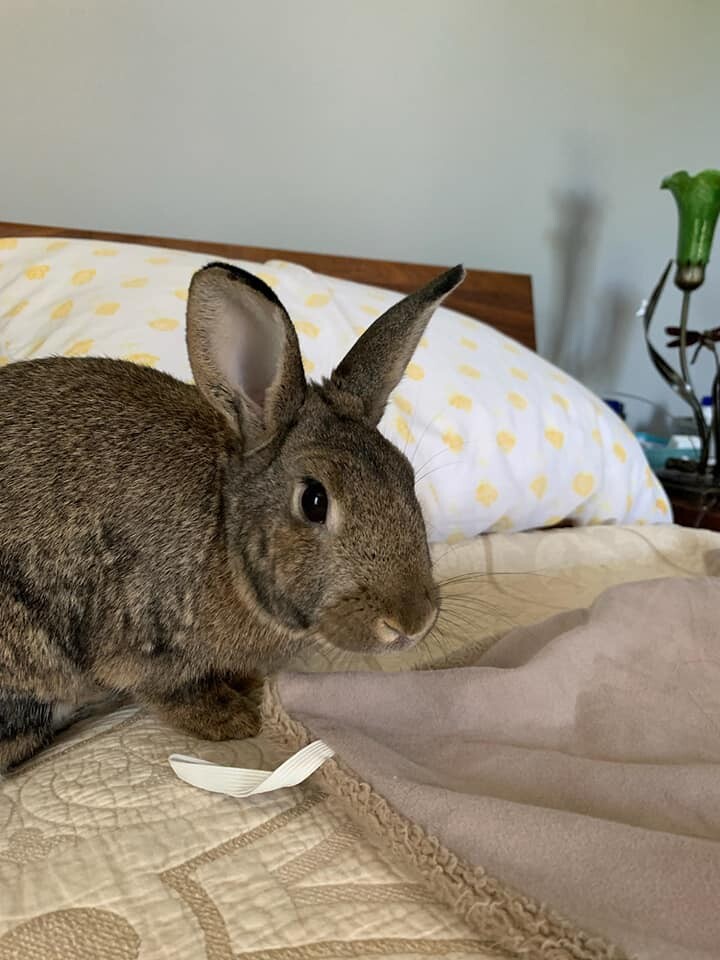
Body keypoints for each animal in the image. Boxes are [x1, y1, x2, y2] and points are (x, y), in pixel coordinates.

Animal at [0, 260, 465, 771]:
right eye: (314, 500)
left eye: (407, 478)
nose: (412, 622)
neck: (226, 526)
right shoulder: (139, 642)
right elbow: (165, 691)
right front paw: (233, 720)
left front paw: (246, 686)